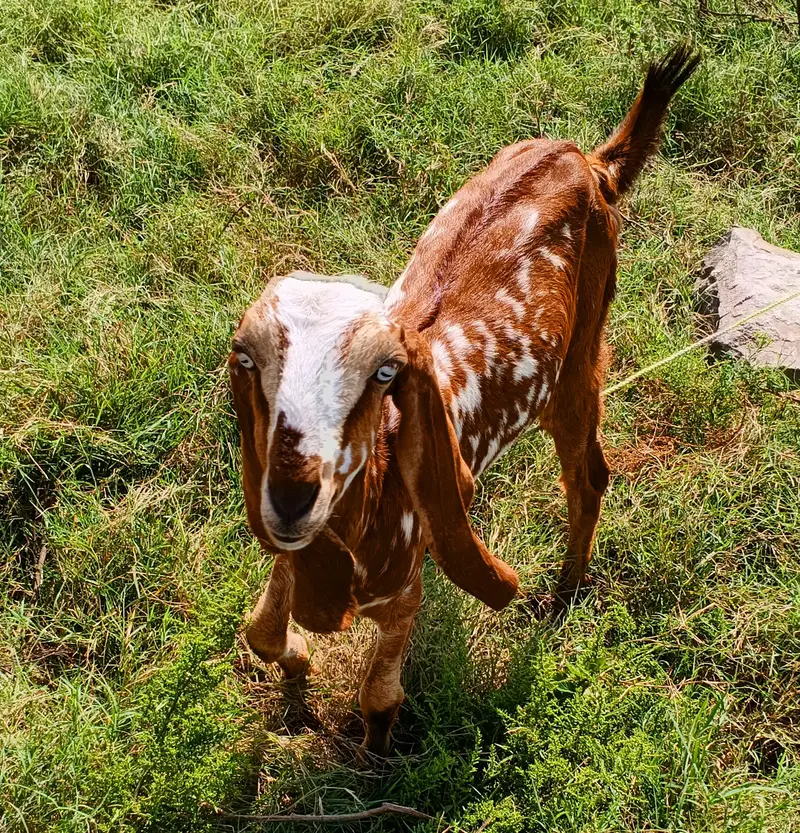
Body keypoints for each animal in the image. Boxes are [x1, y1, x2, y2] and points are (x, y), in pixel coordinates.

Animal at [229, 46, 699, 755]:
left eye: (384, 373)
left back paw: (564, 595)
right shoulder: (300, 550)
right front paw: (298, 676)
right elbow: (259, 632)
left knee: (589, 473)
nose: (291, 494)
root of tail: (589, 161)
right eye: (247, 359)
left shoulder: (405, 585)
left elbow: (378, 695)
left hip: (580, 358)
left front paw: (378, 750)